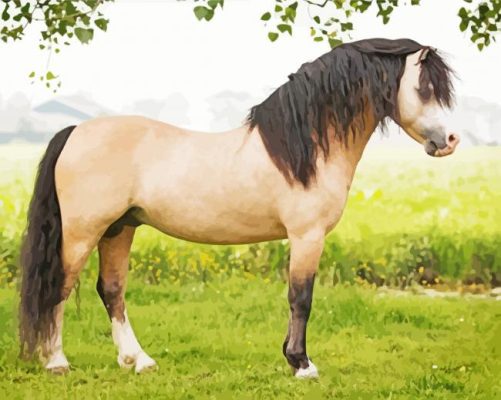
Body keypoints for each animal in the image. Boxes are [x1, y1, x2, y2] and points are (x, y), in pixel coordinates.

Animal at [18, 37, 458, 378]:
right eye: (424, 88)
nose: (450, 140)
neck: (303, 149)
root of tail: (75, 130)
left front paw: (291, 358)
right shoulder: (307, 236)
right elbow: (301, 297)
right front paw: (302, 364)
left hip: (119, 228)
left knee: (111, 290)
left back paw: (138, 361)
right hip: (83, 232)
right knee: (59, 286)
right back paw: (56, 362)